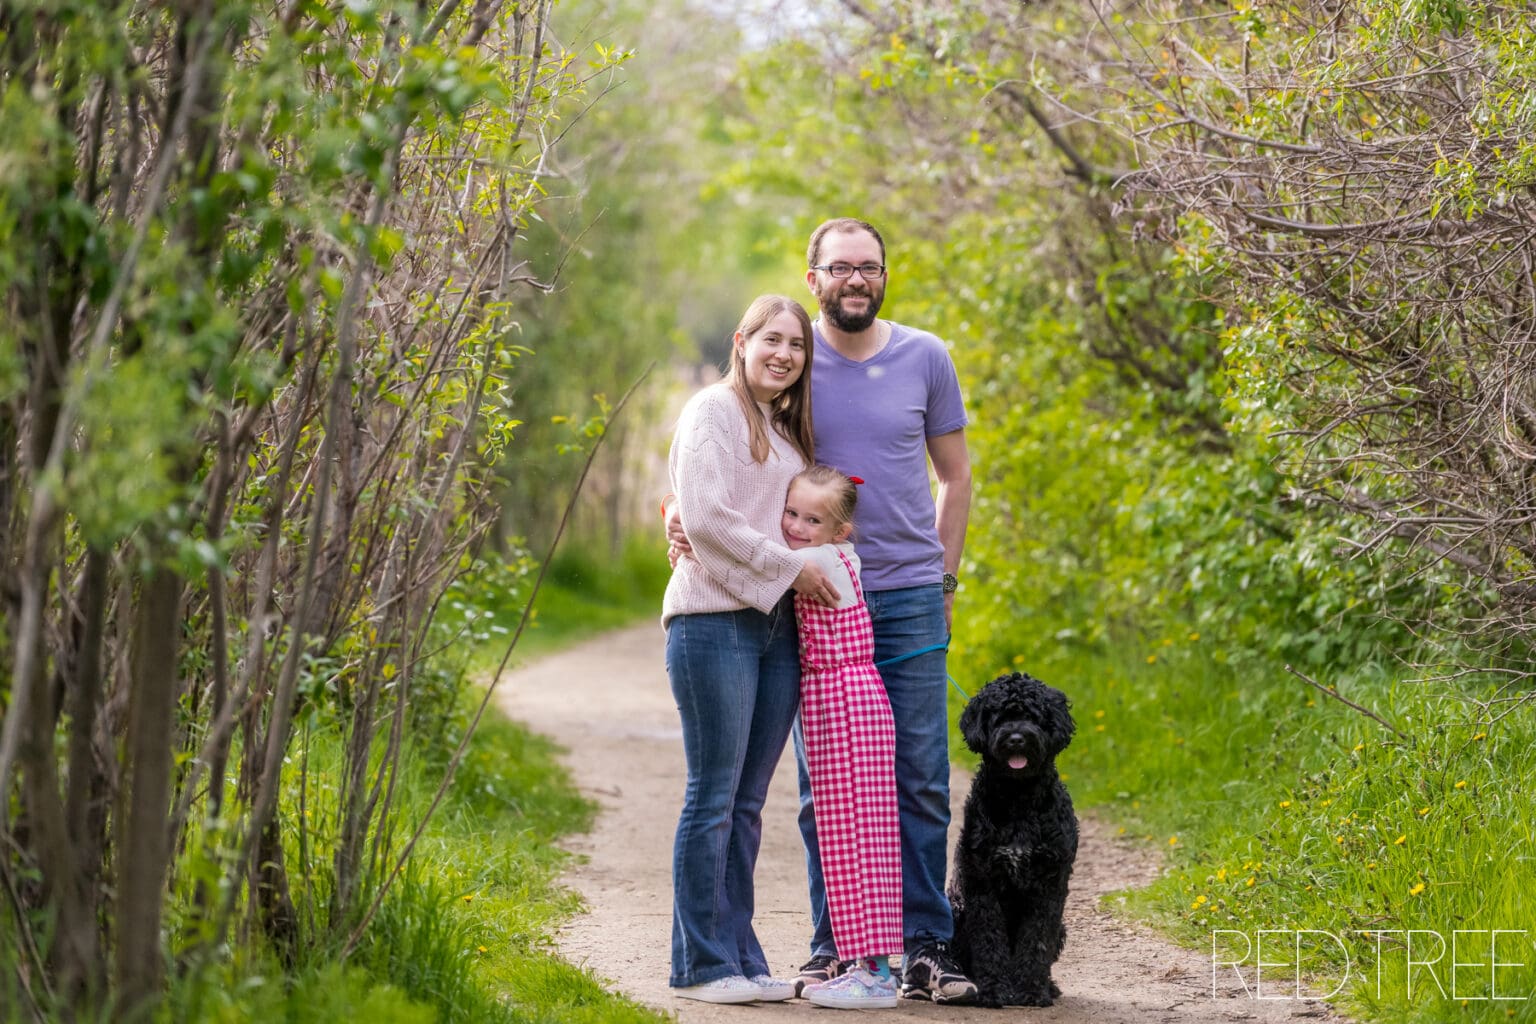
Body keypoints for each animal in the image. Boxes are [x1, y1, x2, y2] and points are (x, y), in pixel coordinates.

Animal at [946, 672, 1081, 1007]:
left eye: (1033, 716)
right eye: (1000, 717)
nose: (1017, 738)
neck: (1019, 799)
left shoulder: (1049, 886)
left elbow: (1036, 942)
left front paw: (1031, 990)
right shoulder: (983, 883)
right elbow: (989, 941)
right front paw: (993, 989)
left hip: (1061, 925)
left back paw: (1049, 986)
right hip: (956, 911)